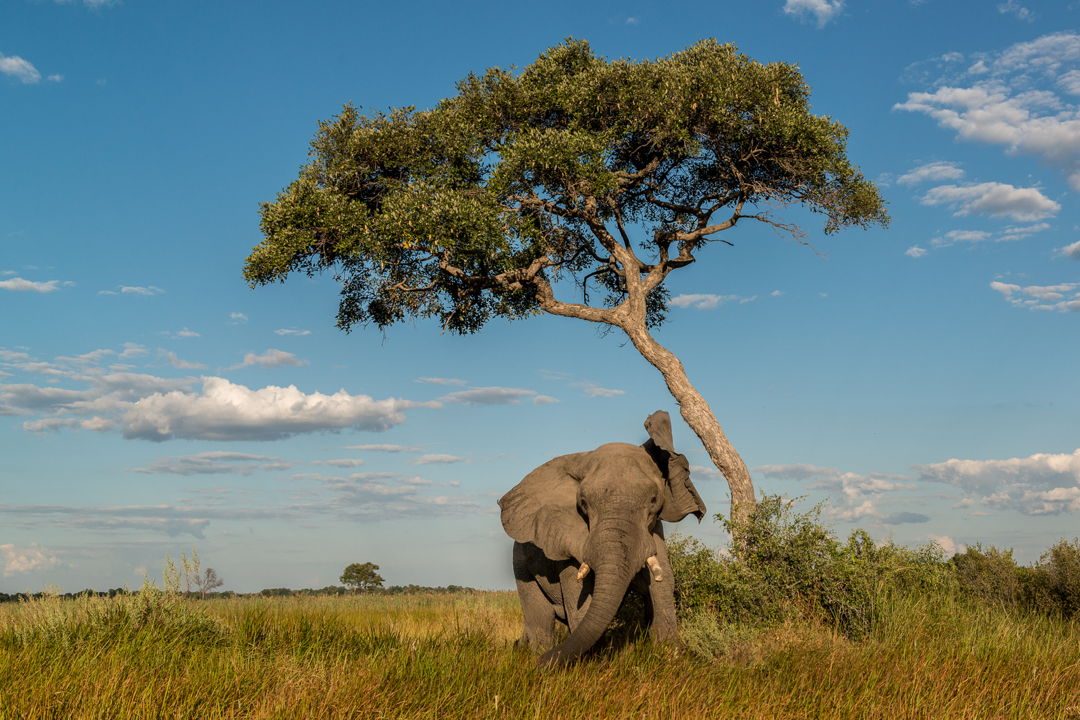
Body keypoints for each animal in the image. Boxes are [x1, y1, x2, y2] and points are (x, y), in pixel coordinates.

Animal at [499, 410, 705, 665]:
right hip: (521, 563)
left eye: (654, 500)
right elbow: (578, 594)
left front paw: (670, 653)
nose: (540, 665)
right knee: (539, 616)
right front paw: (593, 662)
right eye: (583, 503)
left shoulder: (653, 529)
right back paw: (538, 651)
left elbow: (663, 581)